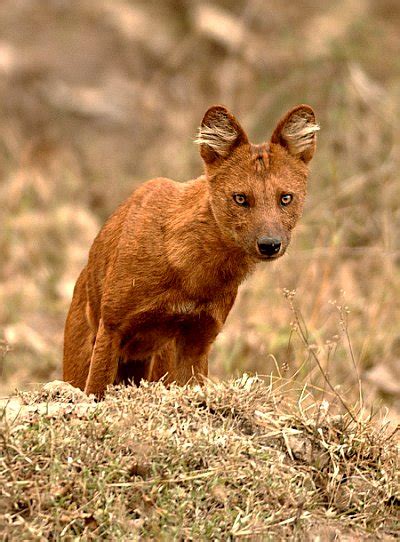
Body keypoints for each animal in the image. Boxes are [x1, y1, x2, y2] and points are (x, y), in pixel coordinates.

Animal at [62, 104, 318, 398]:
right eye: (240, 198)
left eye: (285, 198)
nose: (269, 244)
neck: (193, 273)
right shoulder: (112, 328)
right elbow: (95, 392)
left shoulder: (198, 339)